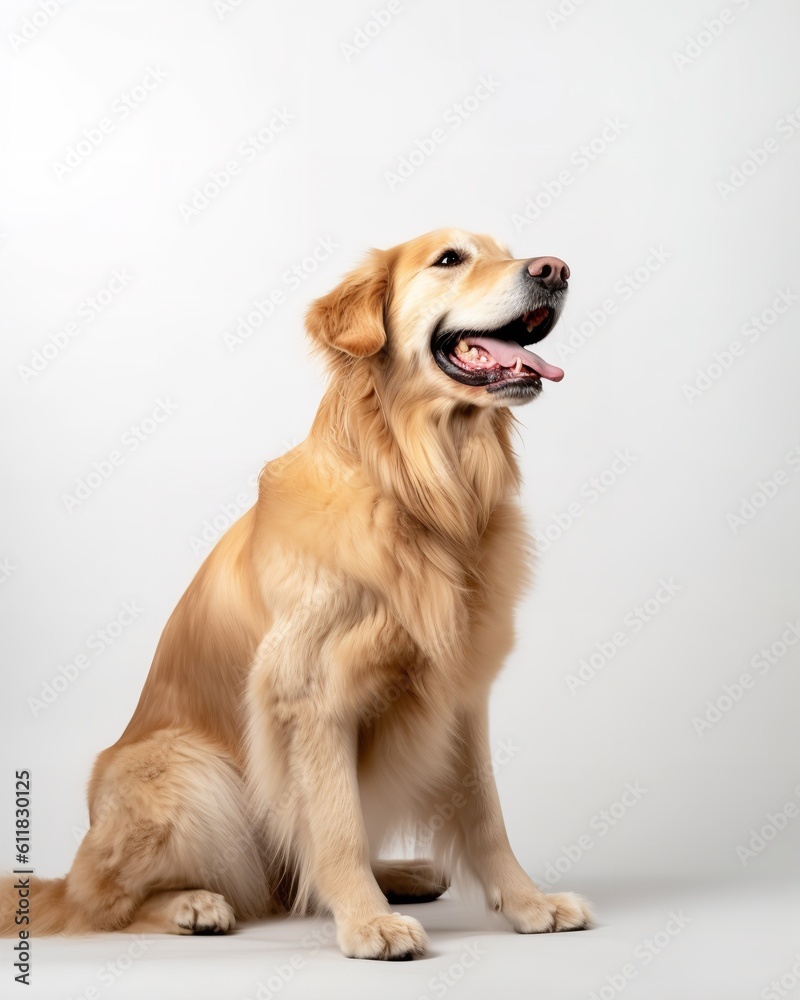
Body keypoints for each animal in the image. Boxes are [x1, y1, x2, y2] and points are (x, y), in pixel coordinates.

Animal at [1, 229, 592, 960]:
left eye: (506, 249)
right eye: (450, 258)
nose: (555, 269)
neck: (419, 489)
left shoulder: (460, 694)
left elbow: (487, 818)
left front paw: (529, 904)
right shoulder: (310, 697)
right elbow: (336, 825)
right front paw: (367, 924)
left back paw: (400, 872)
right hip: (191, 770)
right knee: (98, 901)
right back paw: (193, 904)